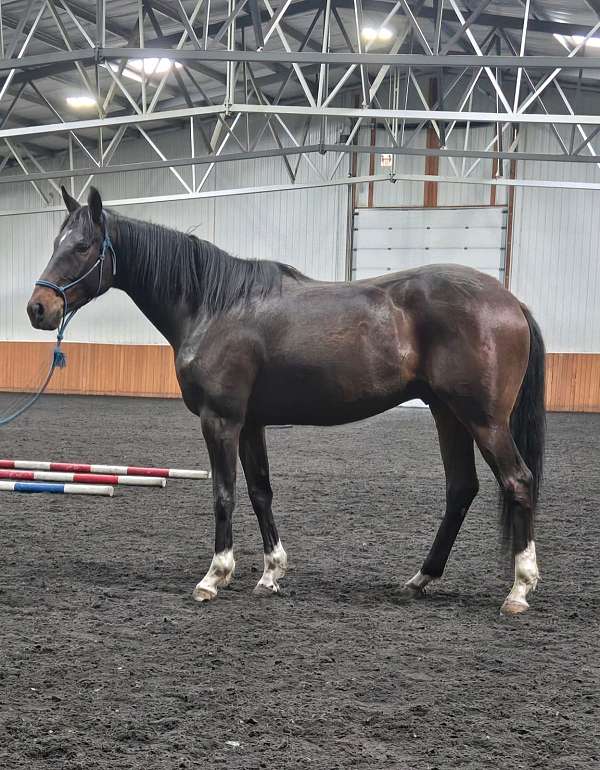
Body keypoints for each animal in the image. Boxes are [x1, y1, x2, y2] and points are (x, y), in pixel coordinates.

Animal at [27, 186, 545, 615]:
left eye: (82, 246)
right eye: (54, 243)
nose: (38, 308)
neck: (214, 305)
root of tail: (509, 300)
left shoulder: (221, 421)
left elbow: (224, 493)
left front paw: (214, 576)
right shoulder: (250, 423)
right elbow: (260, 491)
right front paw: (271, 573)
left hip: (483, 420)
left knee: (518, 481)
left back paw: (519, 589)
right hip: (447, 414)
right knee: (461, 489)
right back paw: (421, 578)